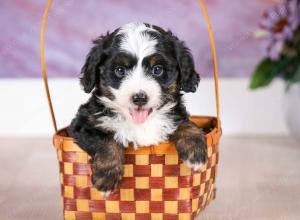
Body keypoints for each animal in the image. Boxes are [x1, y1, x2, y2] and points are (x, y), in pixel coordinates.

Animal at [69, 21, 207, 194]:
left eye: (157, 69)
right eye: (120, 70)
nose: (139, 98)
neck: (139, 123)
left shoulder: (175, 114)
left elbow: (186, 124)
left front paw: (196, 152)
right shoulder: (84, 122)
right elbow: (105, 140)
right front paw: (106, 178)